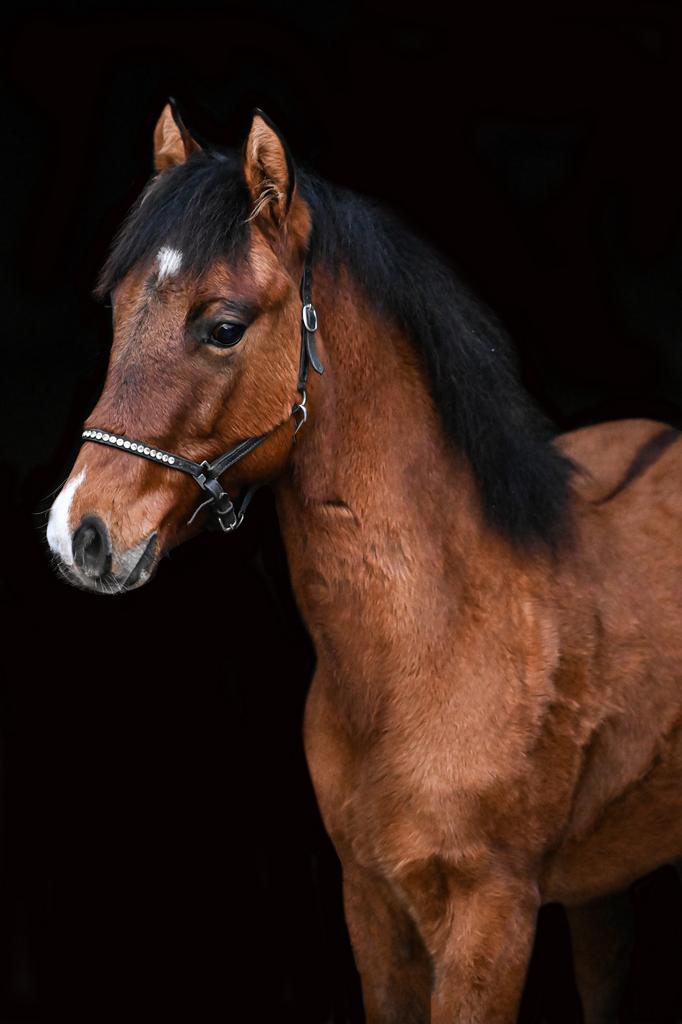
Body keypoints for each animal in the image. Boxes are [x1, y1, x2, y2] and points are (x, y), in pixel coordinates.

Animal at [46, 102, 682, 1023]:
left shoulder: (493, 915)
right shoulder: (372, 906)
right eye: (119, 309)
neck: (435, 641)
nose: (78, 534)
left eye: (223, 326)